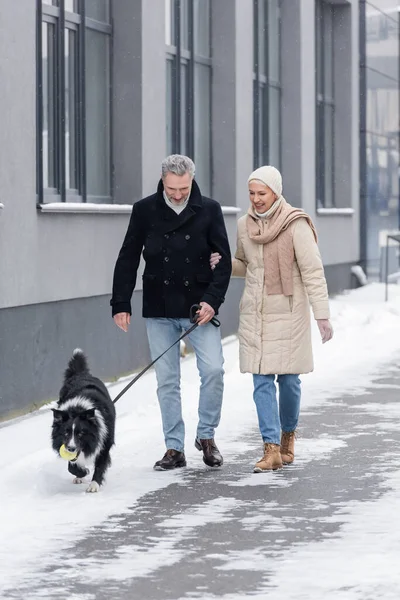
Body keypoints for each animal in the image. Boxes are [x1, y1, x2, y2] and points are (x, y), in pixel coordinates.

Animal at [50, 350, 115, 494]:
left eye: (81, 434)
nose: (71, 448)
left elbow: (100, 464)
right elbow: (72, 465)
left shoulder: (105, 440)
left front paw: (94, 485)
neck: (78, 409)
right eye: (66, 433)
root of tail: (81, 374)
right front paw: (82, 472)